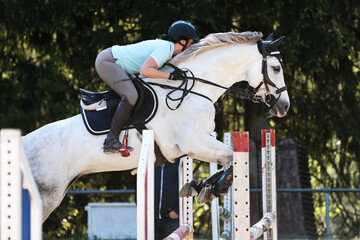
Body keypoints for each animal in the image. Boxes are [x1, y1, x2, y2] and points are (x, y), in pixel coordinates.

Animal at [21, 31, 290, 221]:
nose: (284, 106)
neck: (196, 88)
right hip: (45, 197)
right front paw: (215, 187)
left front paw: (203, 186)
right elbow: (231, 155)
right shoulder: (193, 142)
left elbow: (227, 160)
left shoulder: (195, 144)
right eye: (276, 68)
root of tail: (22, 144)